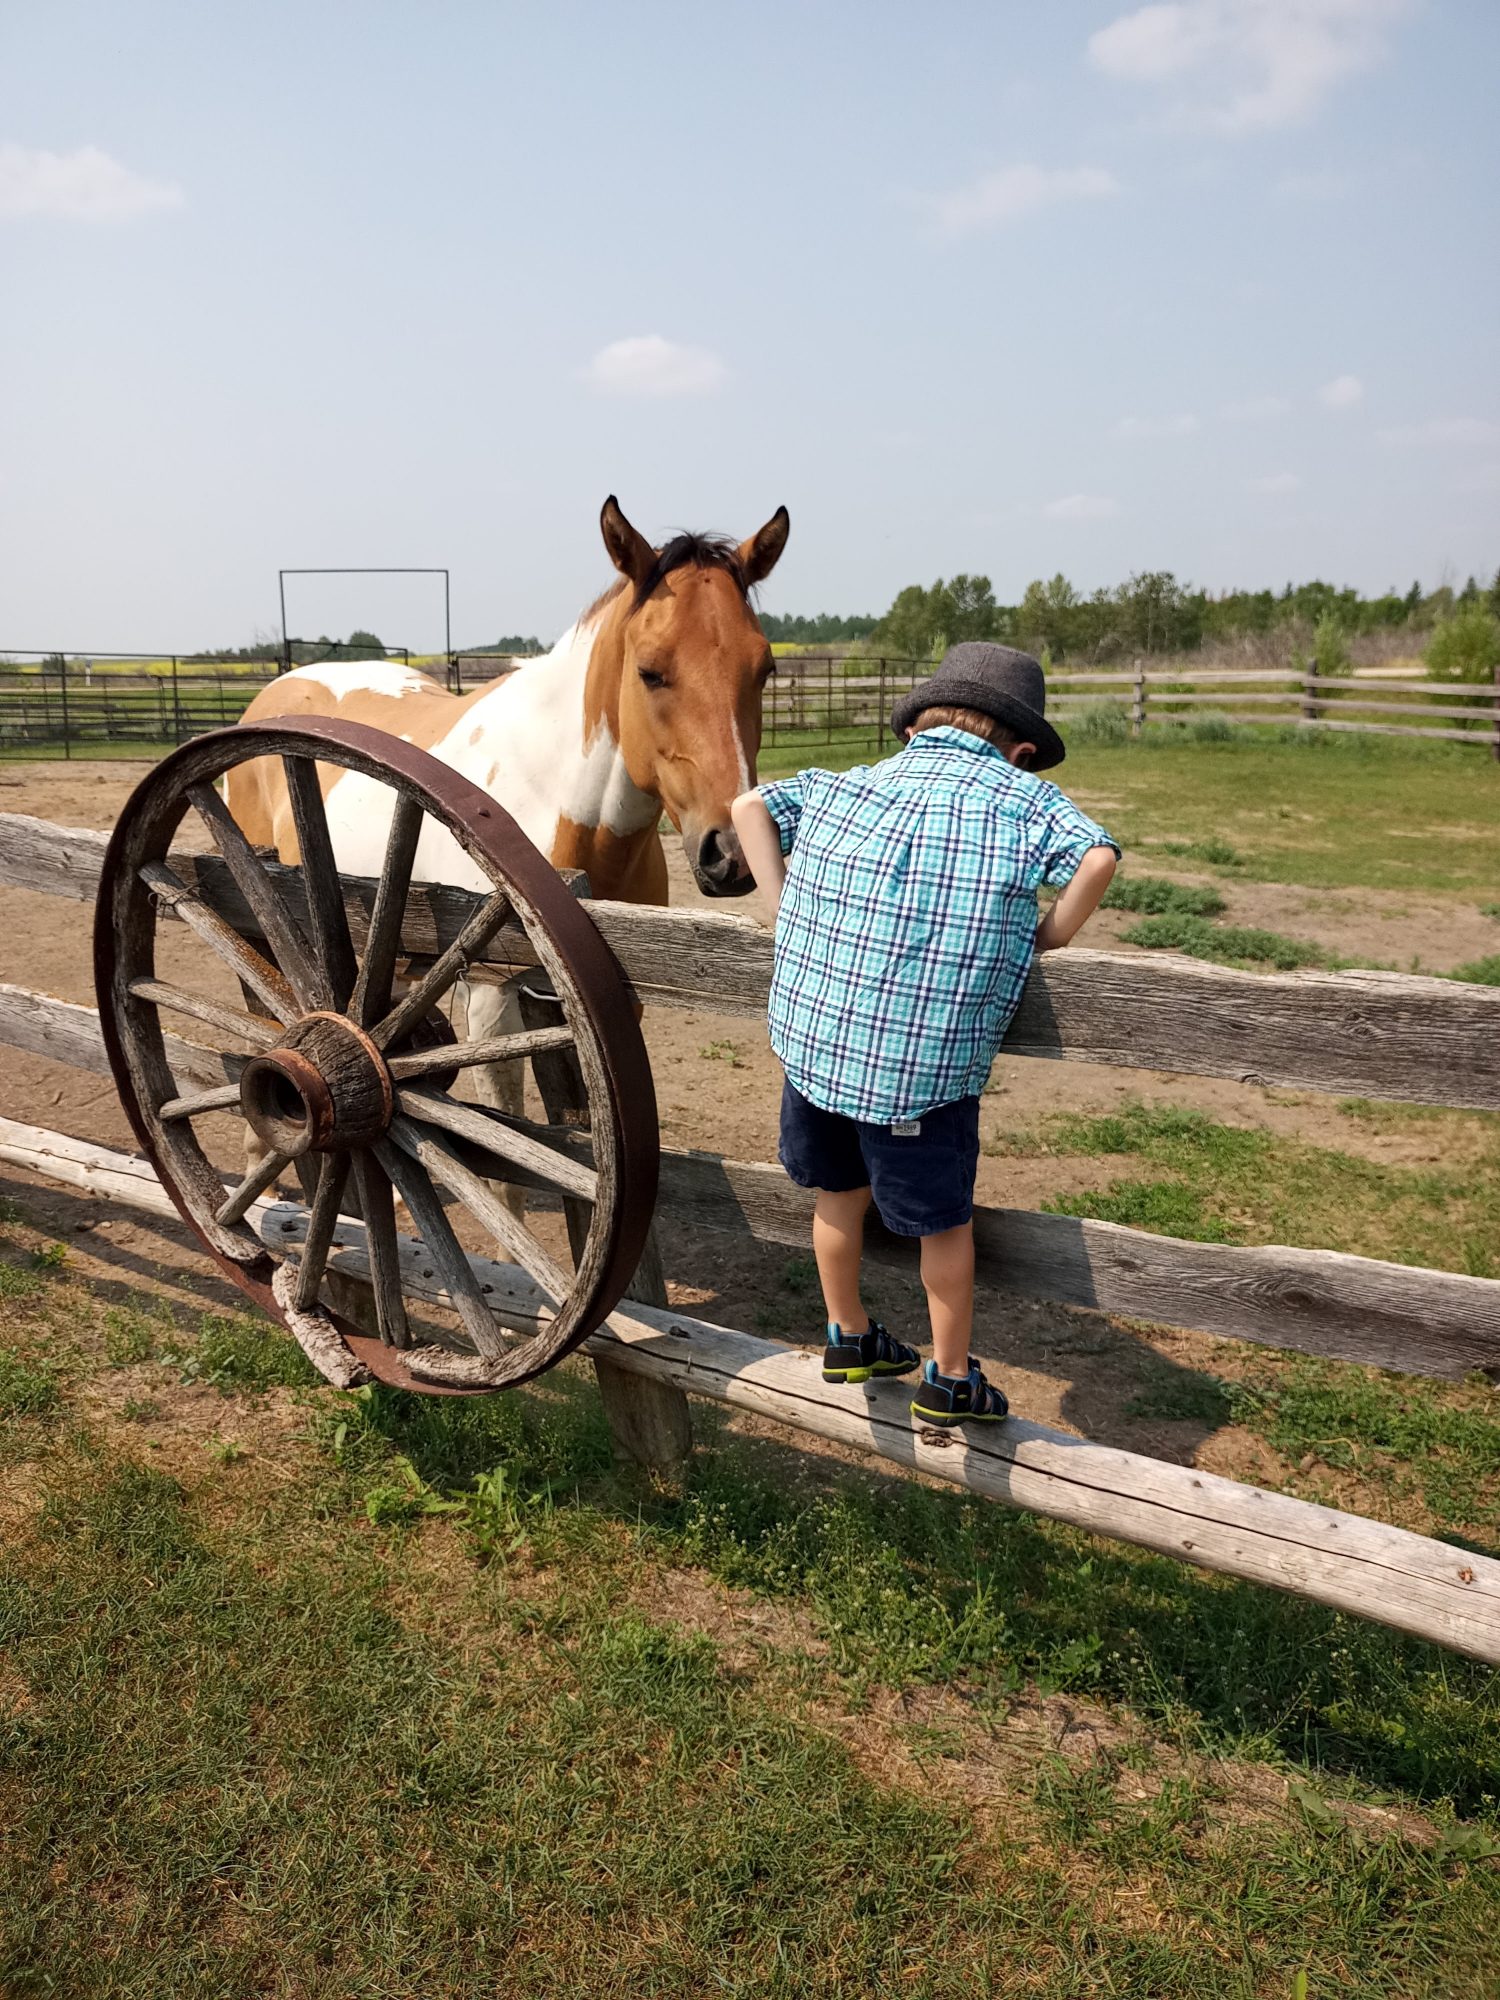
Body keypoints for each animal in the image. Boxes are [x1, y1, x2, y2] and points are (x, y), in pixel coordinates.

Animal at [229, 496, 792, 1200]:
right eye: (650, 671)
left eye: (764, 669)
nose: (733, 853)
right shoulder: (492, 997)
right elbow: (508, 1164)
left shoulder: (601, 1003)